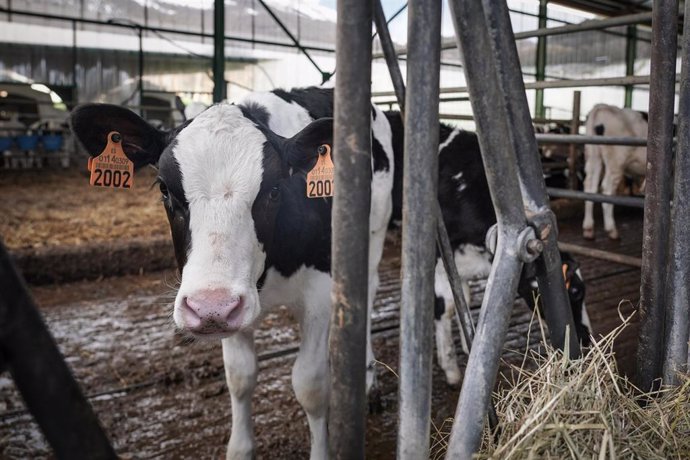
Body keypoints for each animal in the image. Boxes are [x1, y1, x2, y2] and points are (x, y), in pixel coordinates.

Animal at [388, 113, 592, 386]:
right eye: (576, 292)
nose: (587, 340)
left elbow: (466, 298)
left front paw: (471, 344)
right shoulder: (439, 250)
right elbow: (446, 305)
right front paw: (451, 368)